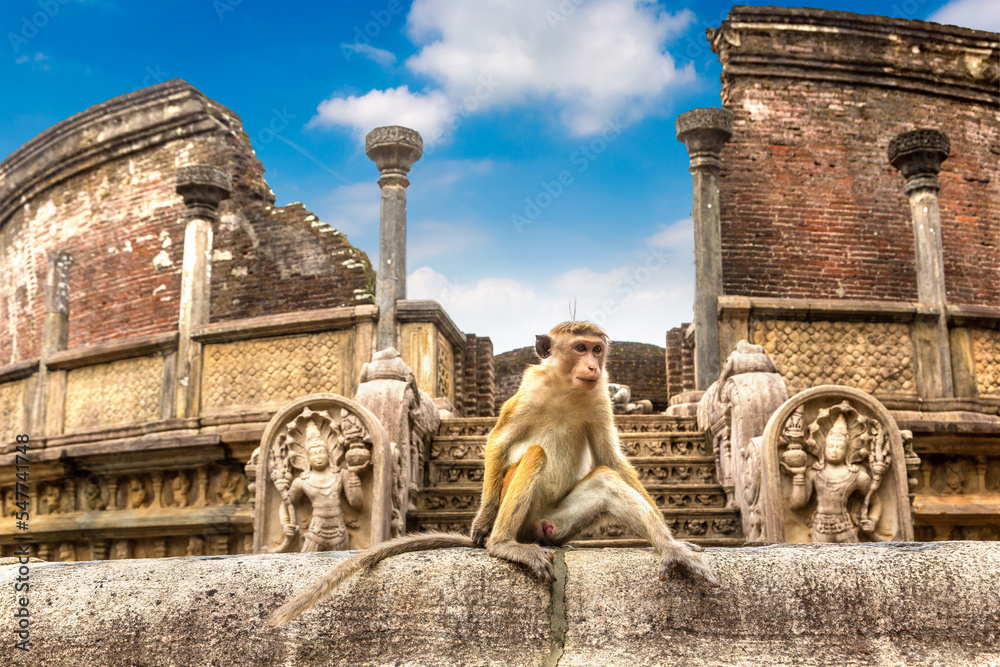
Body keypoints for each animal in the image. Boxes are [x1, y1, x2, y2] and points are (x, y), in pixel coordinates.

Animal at [266, 322, 720, 628]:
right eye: (581, 347)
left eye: (597, 349)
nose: (594, 364)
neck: (567, 388)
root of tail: (532, 531)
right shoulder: (527, 393)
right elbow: (499, 443)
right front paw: (482, 522)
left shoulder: (599, 398)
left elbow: (613, 458)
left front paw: (673, 538)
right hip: (519, 513)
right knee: (533, 456)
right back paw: (501, 543)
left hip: (555, 522)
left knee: (606, 478)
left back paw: (670, 550)